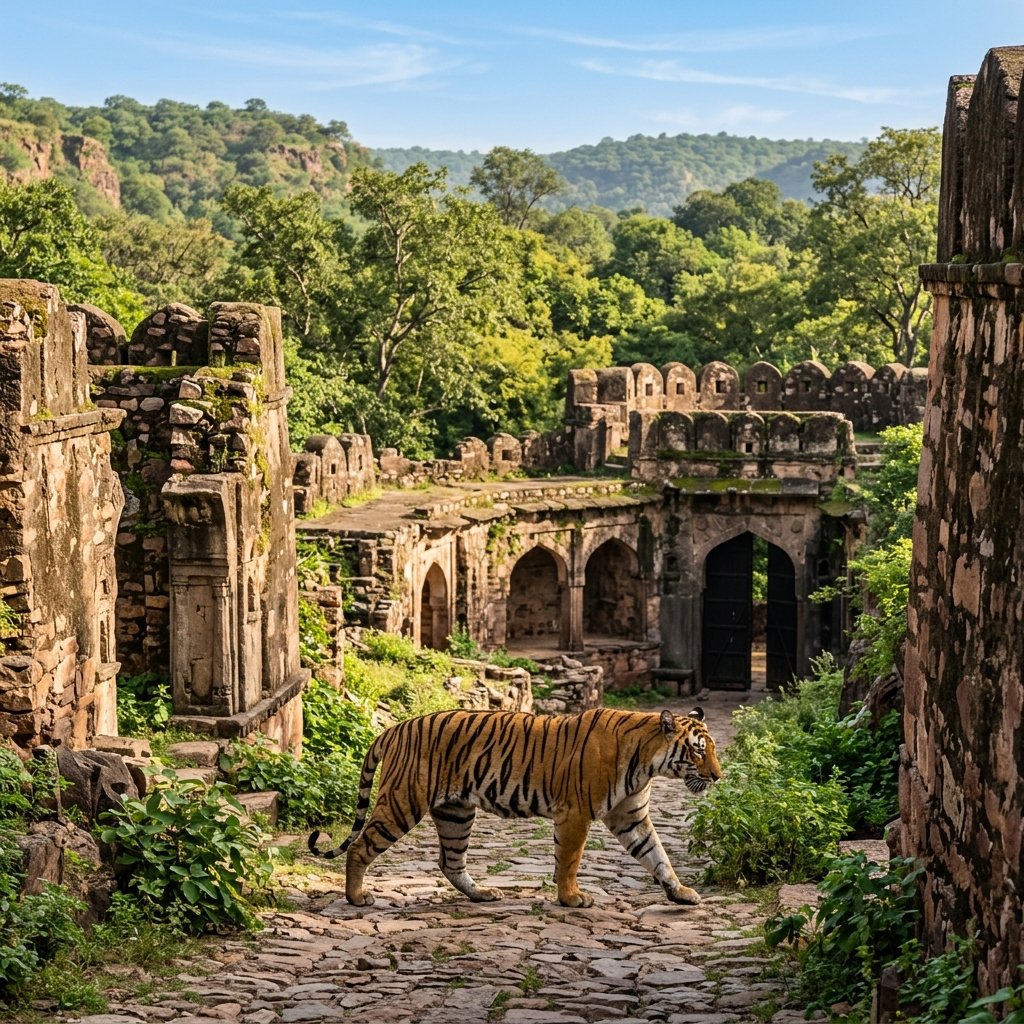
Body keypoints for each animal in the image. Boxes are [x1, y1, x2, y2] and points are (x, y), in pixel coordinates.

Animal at [307, 705, 722, 908]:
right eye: (698, 750)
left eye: (712, 749)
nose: (718, 776)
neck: (647, 763)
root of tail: (393, 728)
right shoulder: (575, 813)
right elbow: (569, 860)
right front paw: (571, 898)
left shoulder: (630, 816)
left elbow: (658, 856)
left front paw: (680, 893)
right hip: (402, 801)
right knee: (361, 847)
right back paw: (356, 898)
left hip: (456, 812)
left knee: (450, 861)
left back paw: (482, 895)